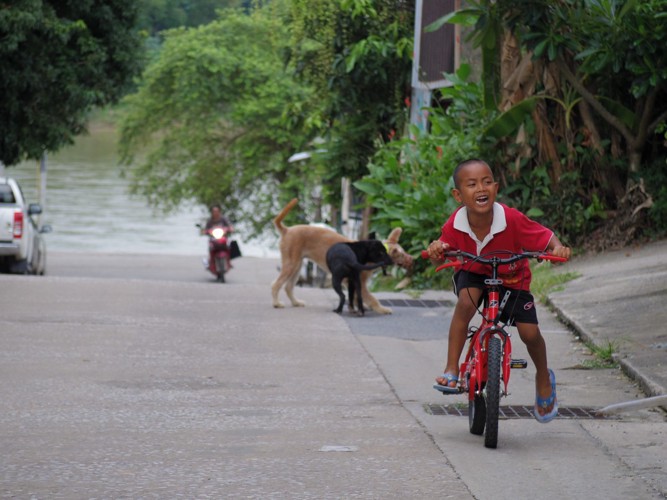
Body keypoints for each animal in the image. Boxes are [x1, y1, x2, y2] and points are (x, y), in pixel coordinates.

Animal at [272, 198, 412, 312]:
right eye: (402, 255)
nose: (413, 259)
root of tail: (287, 230)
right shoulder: (359, 282)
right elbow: (371, 298)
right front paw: (381, 309)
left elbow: (355, 297)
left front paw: (358, 307)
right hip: (291, 264)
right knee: (276, 284)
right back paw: (276, 303)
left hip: (297, 266)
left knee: (288, 287)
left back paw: (296, 303)